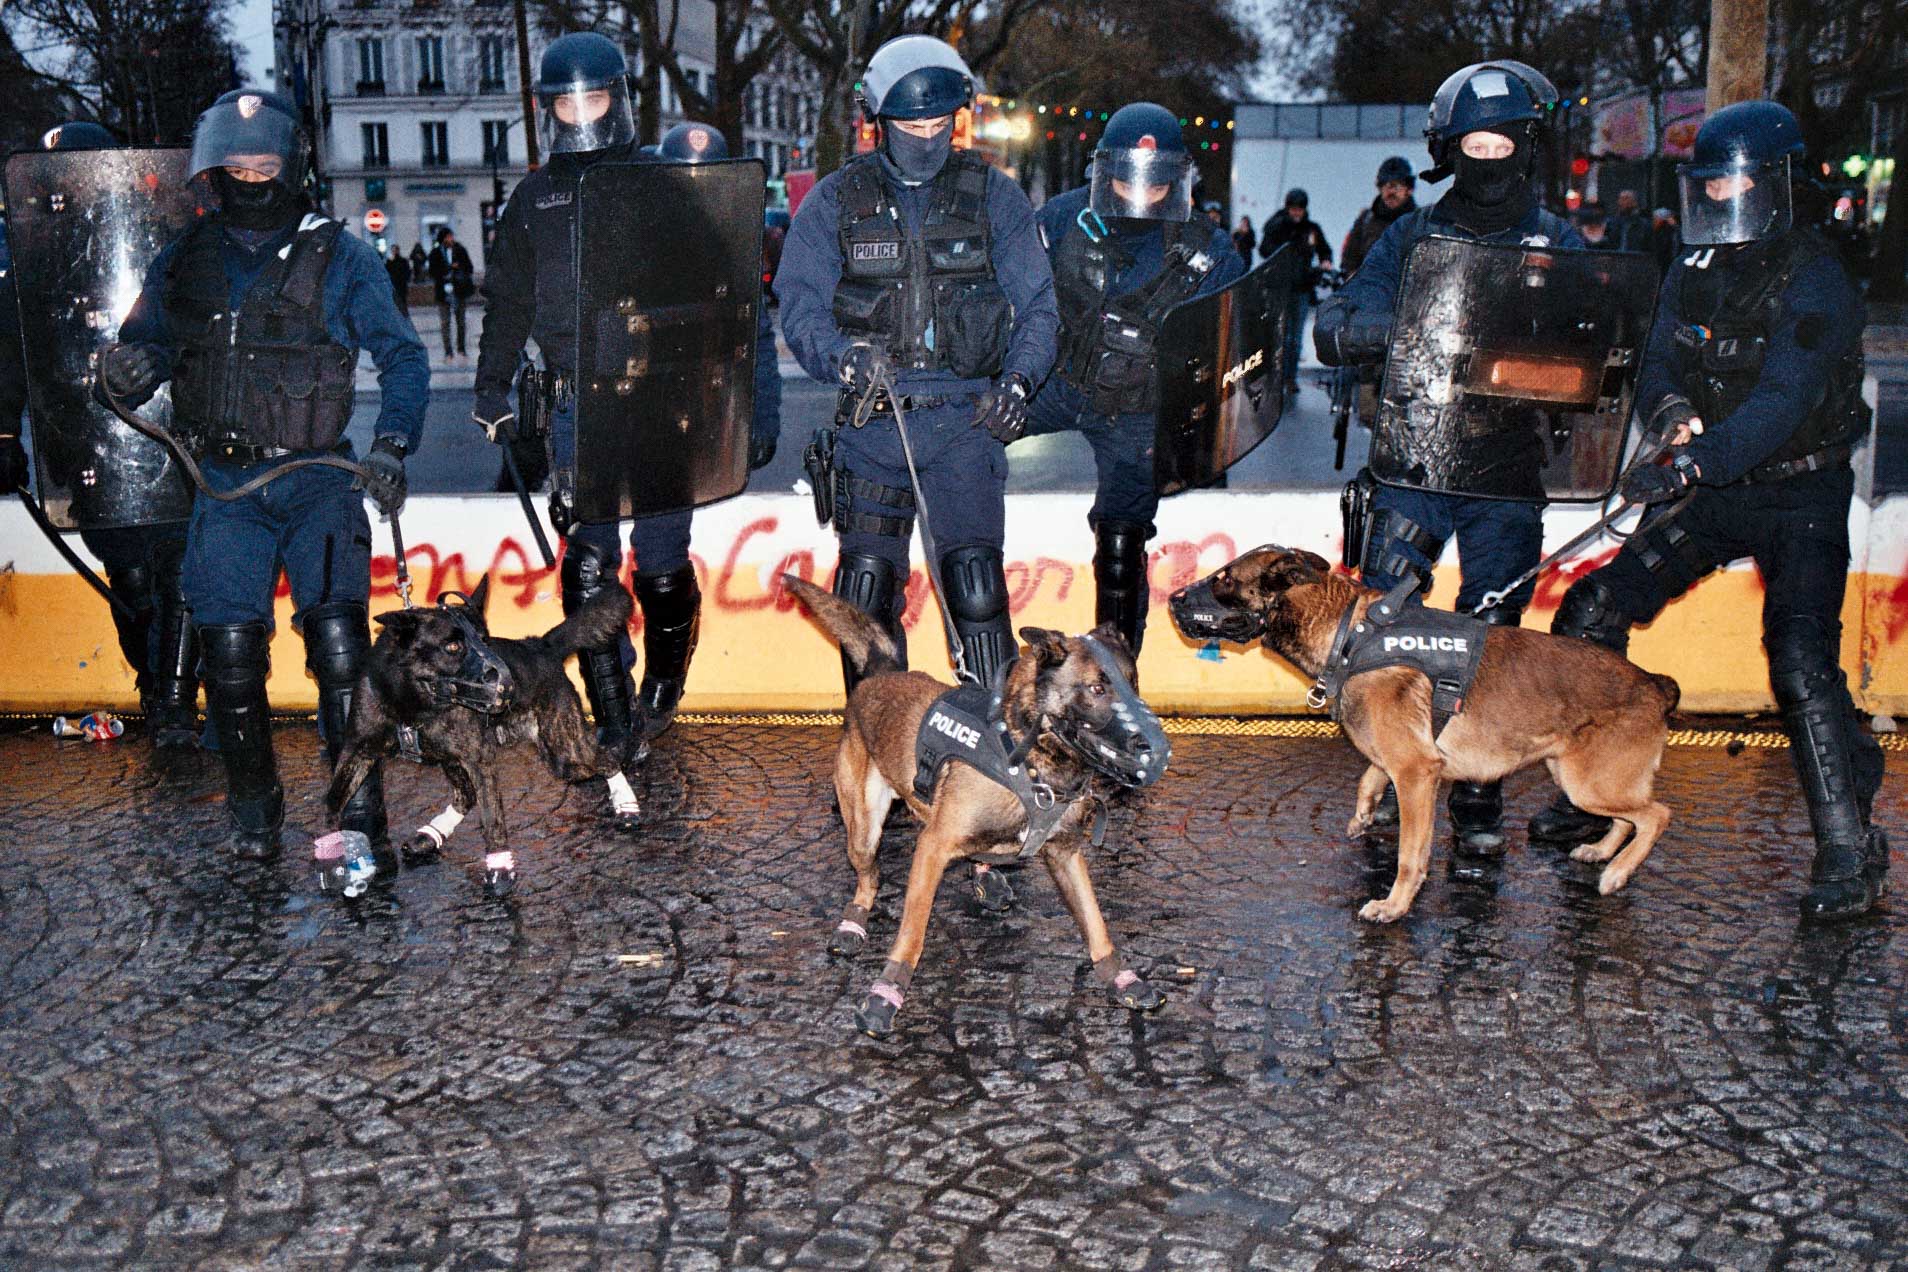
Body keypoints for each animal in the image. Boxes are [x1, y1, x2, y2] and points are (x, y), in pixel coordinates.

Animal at [324, 575, 644, 896]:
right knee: (465, 795)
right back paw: (432, 834)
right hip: (466, 759)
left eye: (485, 639)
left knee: (607, 759)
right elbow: (333, 799)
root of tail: (539, 645)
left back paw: (626, 805)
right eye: (453, 646)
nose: (508, 685)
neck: (414, 701)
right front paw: (331, 853)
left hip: (566, 753)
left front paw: (499, 868)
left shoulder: (480, 760)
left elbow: (492, 817)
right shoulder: (358, 751)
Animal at [782, 575, 1167, 1037]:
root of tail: (881, 673)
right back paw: (854, 921)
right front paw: (886, 993)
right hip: (863, 828)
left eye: (1133, 683)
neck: (1027, 757)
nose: (1156, 749)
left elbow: (1096, 922)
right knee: (869, 878)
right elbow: (912, 934)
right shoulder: (932, 848)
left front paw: (1120, 978)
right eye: (1096, 688)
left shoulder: (1065, 855)